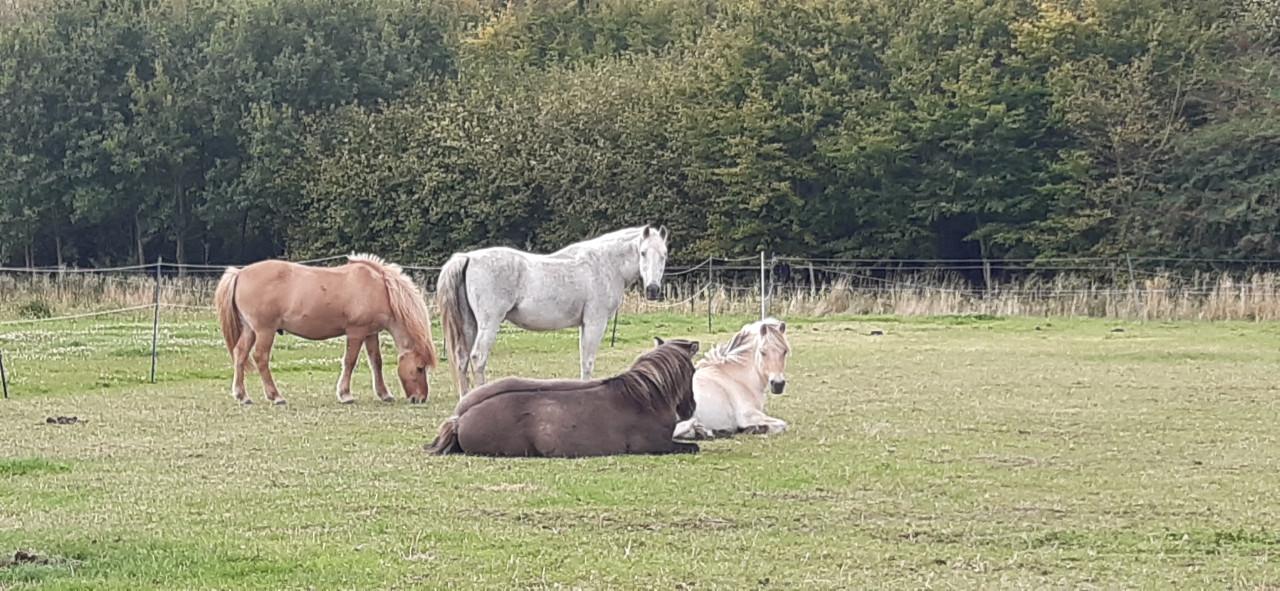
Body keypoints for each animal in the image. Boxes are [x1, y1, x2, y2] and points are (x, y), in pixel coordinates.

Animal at [213, 254, 438, 405]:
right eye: (419, 367)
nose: (420, 398)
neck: (379, 287)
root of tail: (240, 273)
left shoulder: (370, 333)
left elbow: (376, 362)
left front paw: (384, 394)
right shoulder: (356, 332)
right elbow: (350, 361)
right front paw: (345, 394)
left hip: (250, 330)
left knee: (240, 354)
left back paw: (242, 396)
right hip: (264, 331)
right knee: (260, 358)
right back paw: (276, 396)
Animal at [436, 225, 669, 395]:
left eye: (664, 255)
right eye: (643, 253)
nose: (652, 290)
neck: (604, 264)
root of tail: (469, 257)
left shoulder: (585, 325)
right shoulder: (595, 323)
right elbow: (588, 362)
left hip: (470, 325)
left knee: (462, 359)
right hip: (489, 323)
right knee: (478, 358)